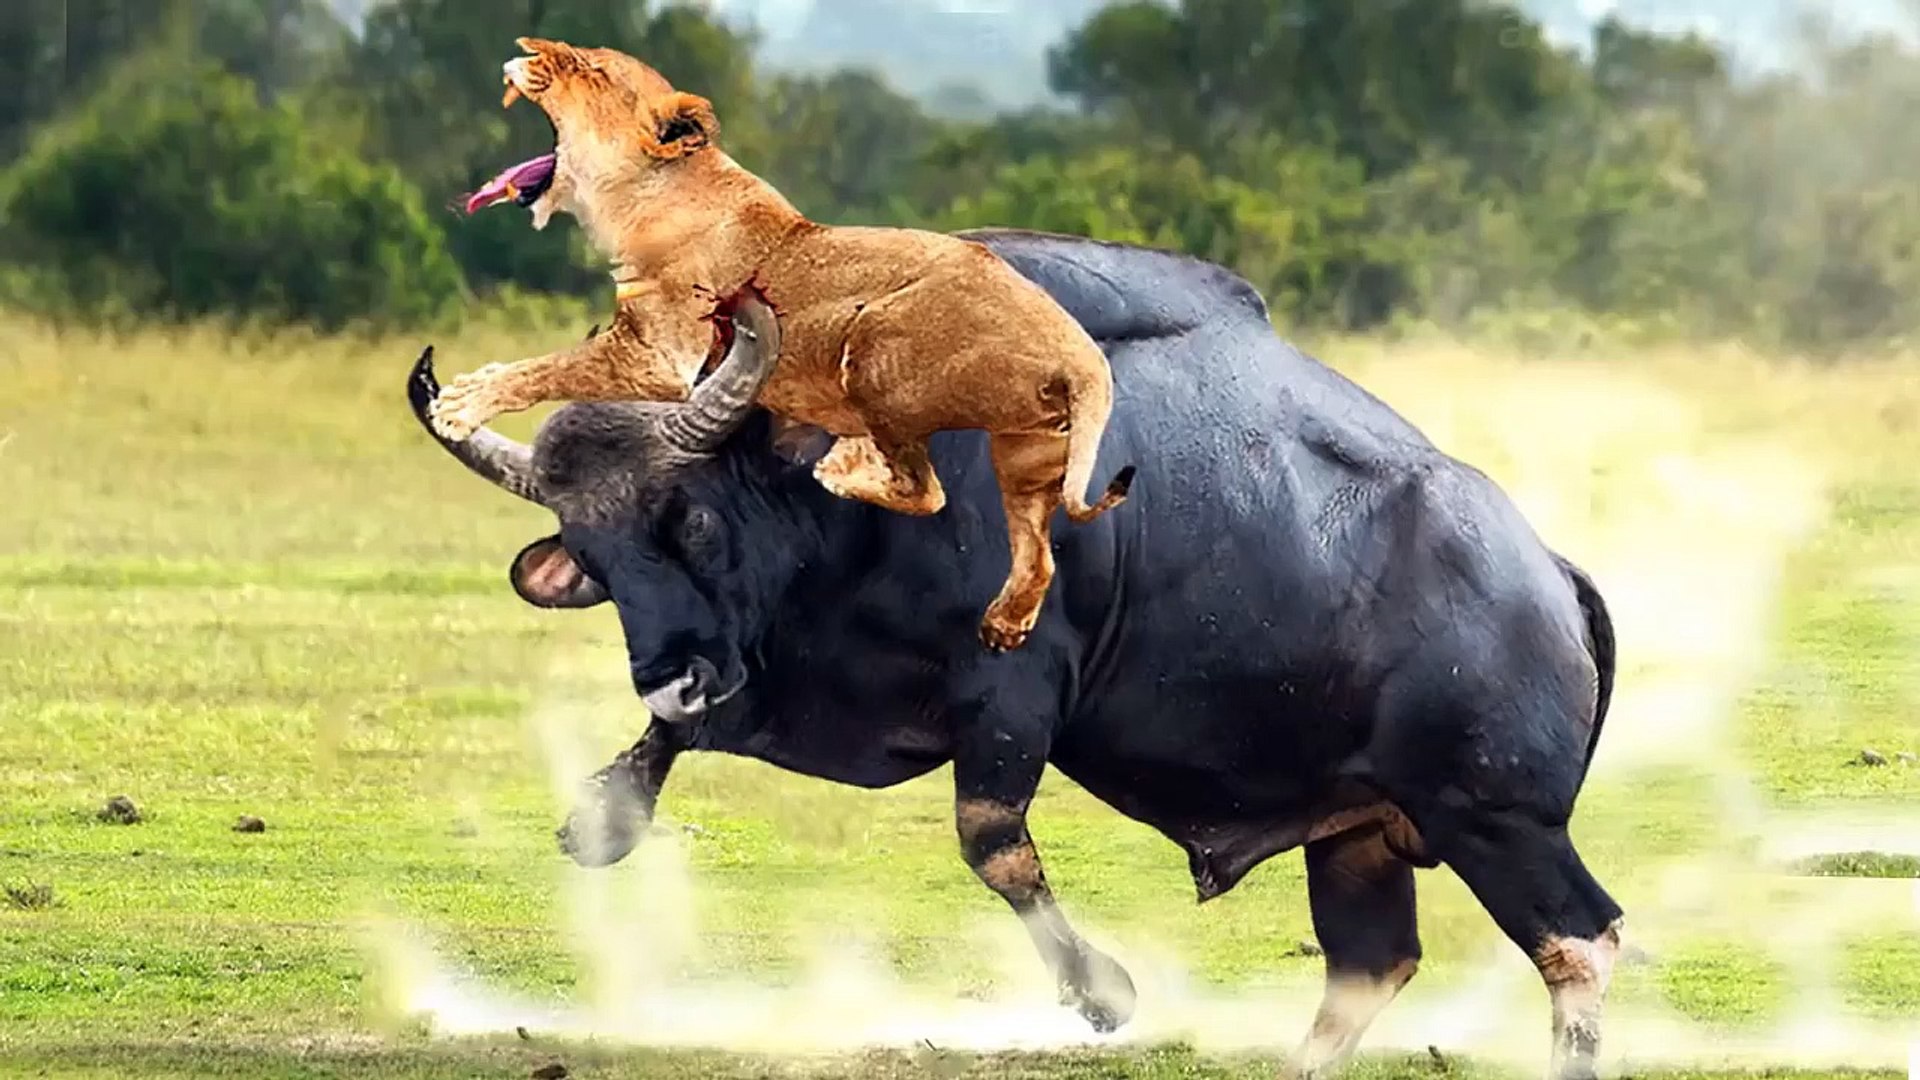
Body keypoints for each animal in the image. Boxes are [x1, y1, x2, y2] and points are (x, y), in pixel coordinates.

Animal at [408, 228, 1624, 1080]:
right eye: (593, 555)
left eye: (694, 521)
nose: (671, 667)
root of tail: (1551, 576)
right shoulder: (778, 677)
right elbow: (669, 743)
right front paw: (603, 814)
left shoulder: (1010, 700)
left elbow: (993, 843)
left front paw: (1104, 993)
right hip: (1362, 834)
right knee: (1371, 965)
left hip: (1497, 821)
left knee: (1581, 943)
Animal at [426, 37, 1134, 652]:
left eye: (591, 70)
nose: (525, 52)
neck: (646, 199)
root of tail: (1080, 355)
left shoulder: (660, 356)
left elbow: (548, 367)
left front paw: (461, 403)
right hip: (1026, 452)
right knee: (1036, 558)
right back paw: (1002, 625)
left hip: (875, 341)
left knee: (925, 489)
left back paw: (844, 468)